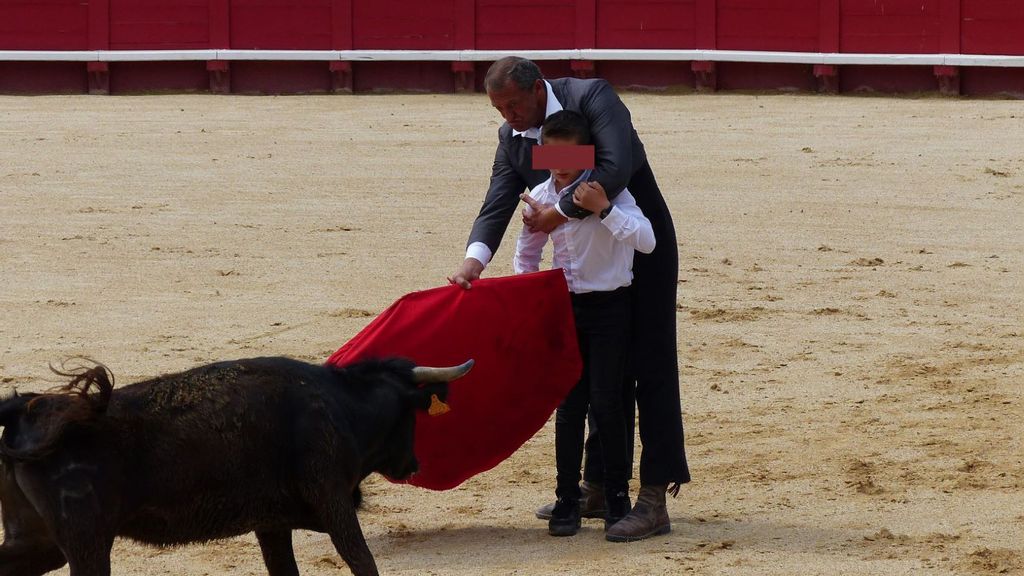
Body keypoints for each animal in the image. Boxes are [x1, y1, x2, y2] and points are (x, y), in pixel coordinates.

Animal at [0, 354, 471, 573]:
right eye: (412, 416)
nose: (413, 465)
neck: (343, 406)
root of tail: (27, 410)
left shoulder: (272, 523)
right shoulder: (333, 502)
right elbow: (362, 562)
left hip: (39, 541)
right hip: (87, 544)